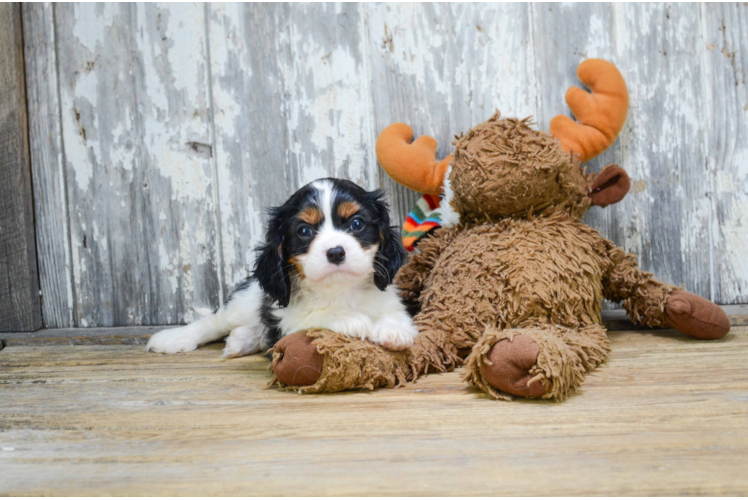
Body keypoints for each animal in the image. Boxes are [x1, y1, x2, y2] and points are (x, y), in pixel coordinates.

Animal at [146, 178, 414, 358]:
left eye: (357, 224)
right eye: (304, 231)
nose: (336, 252)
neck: (339, 290)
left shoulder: (388, 300)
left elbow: (395, 315)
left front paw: (394, 330)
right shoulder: (287, 322)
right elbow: (315, 317)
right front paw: (350, 320)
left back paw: (242, 339)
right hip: (244, 299)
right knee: (214, 321)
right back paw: (174, 338)